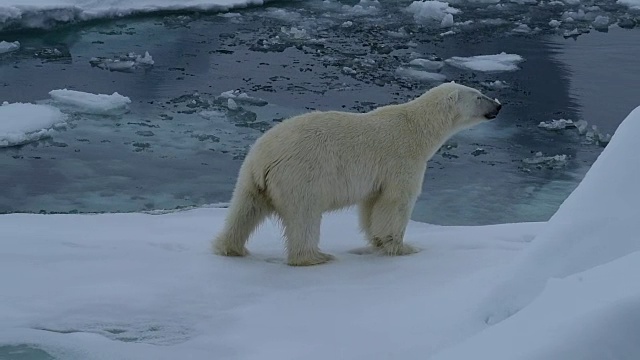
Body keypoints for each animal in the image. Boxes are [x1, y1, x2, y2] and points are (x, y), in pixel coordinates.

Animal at [212, 82, 502, 268]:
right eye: (479, 96)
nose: (499, 105)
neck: (417, 128)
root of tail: (265, 158)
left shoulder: (377, 176)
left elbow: (371, 205)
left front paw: (377, 242)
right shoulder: (402, 161)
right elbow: (395, 203)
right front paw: (403, 247)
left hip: (250, 177)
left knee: (243, 210)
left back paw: (229, 247)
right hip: (300, 175)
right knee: (304, 216)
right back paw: (315, 257)